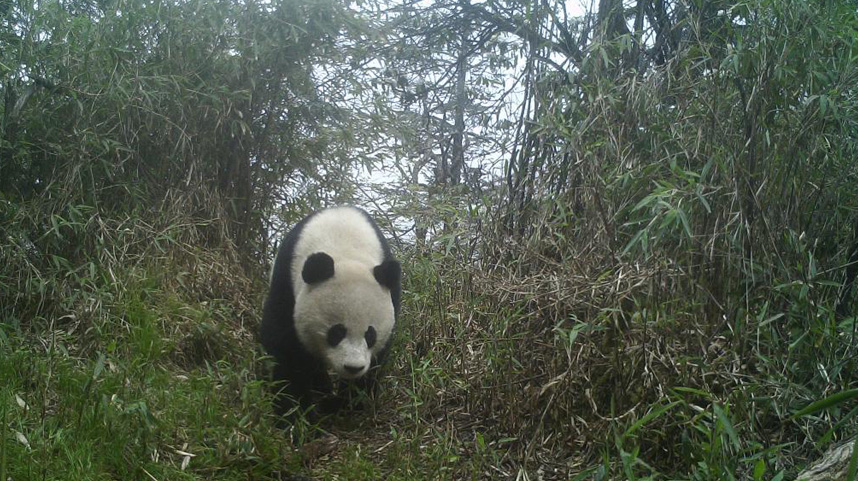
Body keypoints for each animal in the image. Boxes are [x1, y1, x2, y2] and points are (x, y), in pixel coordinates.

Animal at [260, 204, 400, 418]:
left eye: (370, 335)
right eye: (336, 332)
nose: (353, 367)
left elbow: (378, 358)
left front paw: (348, 404)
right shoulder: (286, 282)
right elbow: (286, 347)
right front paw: (296, 413)